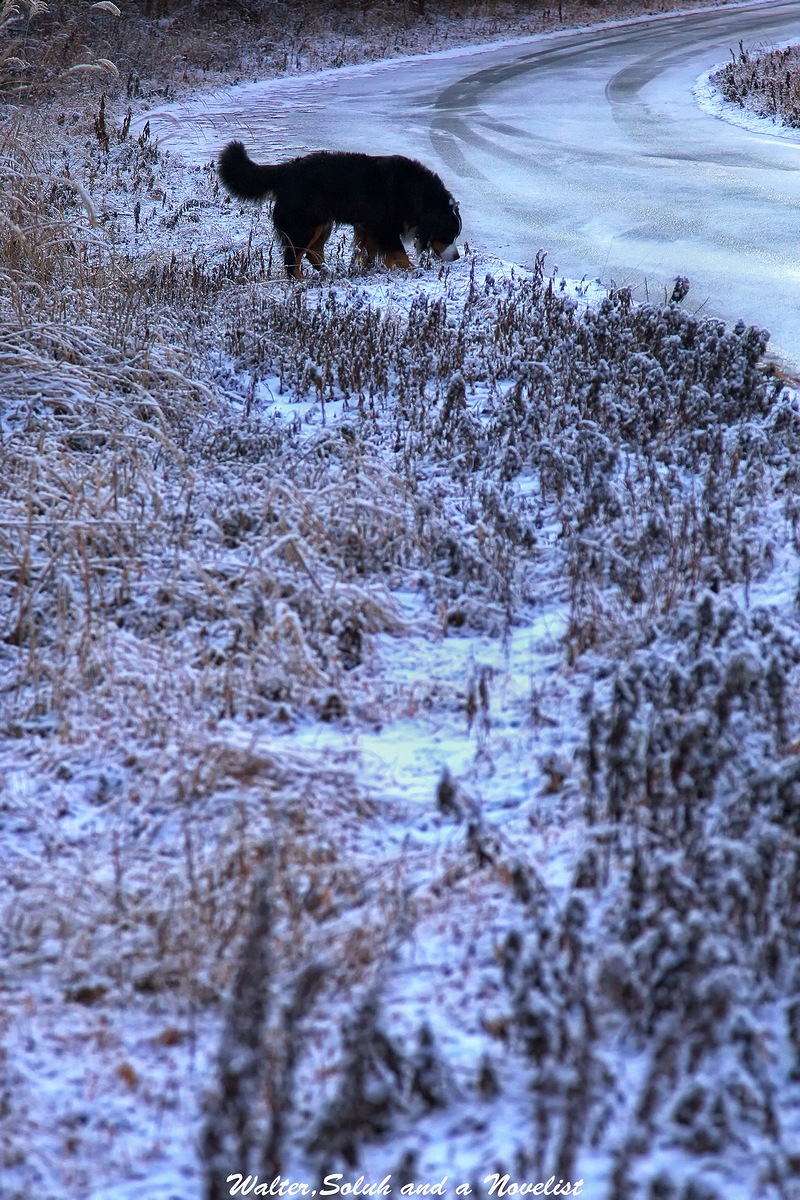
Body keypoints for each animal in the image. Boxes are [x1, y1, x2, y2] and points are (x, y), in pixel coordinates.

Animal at [217, 140, 462, 280]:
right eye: (448, 235)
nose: (457, 256)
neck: (415, 192)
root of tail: (285, 171)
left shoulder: (369, 227)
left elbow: (373, 252)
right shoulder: (384, 226)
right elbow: (399, 253)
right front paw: (413, 270)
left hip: (322, 222)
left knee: (313, 252)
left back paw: (327, 272)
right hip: (305, 224)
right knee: (293, 258)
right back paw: (301, 283)